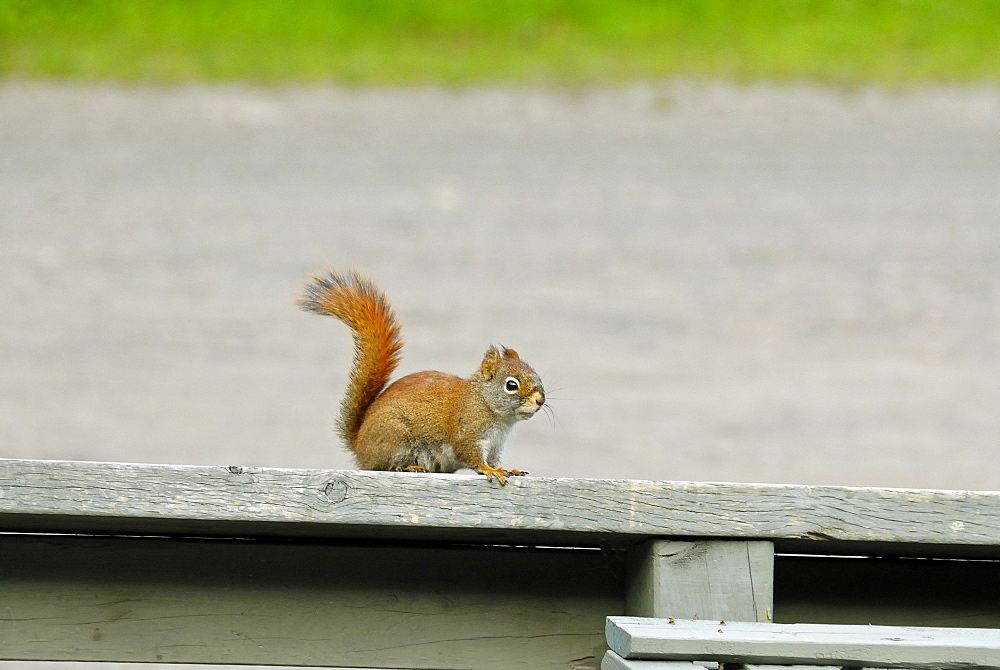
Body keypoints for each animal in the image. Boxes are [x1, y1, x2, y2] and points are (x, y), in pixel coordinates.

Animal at [296, 270, 548, 486]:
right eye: (511, 385)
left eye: (536, 375)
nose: (540, 400)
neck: (485, 404)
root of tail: (359, 445)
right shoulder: (466, 433)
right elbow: (473, 456)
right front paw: (490, 470)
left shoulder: (496, 445)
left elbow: (495, 460)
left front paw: (506, 469)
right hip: (395, 438)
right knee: (384, 466)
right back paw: (407, 467)